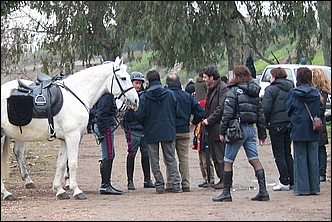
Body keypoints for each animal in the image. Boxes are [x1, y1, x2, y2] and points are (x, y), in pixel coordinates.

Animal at [1, 56, 139, 200]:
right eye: (123, 78)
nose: (136, 100)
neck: (77, 95)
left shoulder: (65, 139)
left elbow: (61, 164)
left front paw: (60, 190)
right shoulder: (73, 136)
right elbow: (72, 163)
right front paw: (76, 190)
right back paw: (7, 193)